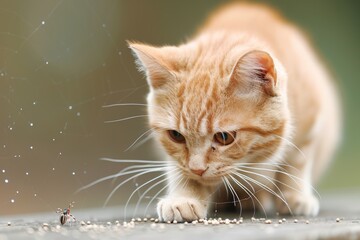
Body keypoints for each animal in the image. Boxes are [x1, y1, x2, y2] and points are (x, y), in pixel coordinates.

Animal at [129, 2, 340, 223]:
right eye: (176, 135)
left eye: (224, 137)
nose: (197, 169)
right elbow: (179, 169)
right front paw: (184, 197)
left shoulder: (312, 120)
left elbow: (297, 162)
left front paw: (295, 195)